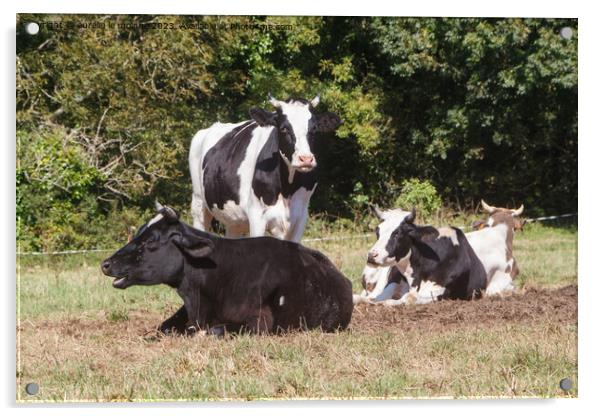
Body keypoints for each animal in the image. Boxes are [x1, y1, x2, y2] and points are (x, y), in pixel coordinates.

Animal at [189, 94, 338, 240]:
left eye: (314, 129)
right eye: (284, 128)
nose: (306, 159)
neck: (287, 190)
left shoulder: (300, 217)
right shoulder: (257, 216)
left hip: (234, 220)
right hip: (199, 203)